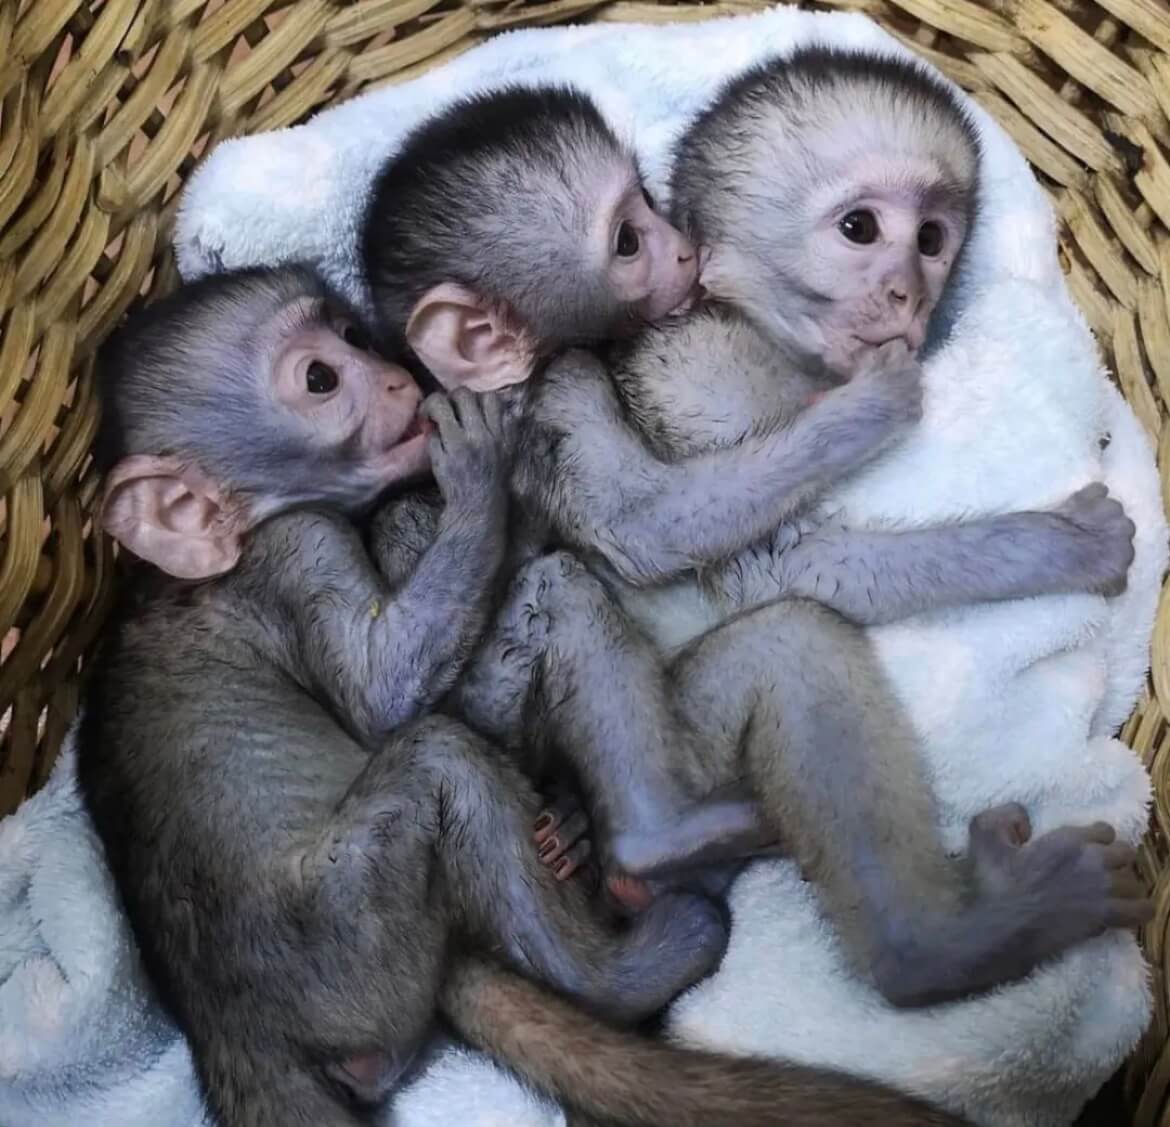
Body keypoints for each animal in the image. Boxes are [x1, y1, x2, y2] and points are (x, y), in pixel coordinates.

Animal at [360, 58, 1151, 1010]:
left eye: (932, 238)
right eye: (860, 229)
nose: (910, 290)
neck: (761, 330)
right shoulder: (700, 368)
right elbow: (767, 562)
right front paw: (1061, 542)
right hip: (677, 740)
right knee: (786, 641)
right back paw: (943, 938)